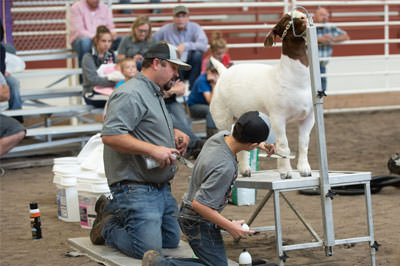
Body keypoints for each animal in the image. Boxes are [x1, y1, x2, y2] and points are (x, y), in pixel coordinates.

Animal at [211, 10, 314, 179]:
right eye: (286, 20)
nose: (304, 18)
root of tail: (224, 72)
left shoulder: (308, 117)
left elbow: (304, 144)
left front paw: (305, 169)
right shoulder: (278, 117)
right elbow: (283, 145)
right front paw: (285, 172)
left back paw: (246, 170)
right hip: (221, 117)